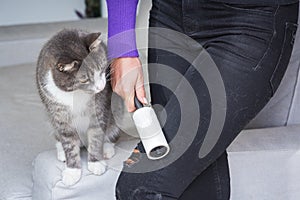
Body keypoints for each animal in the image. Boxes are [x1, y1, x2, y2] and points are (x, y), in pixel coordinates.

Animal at [35, 28, 119, 186]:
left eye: (101, 69)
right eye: (84, 79)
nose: (101, 87)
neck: (76, 93)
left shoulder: (98, 109)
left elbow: (96, 135)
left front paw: (96, 162)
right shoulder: (59, 114)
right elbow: (68, 141)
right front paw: (72, 171)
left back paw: (107, 148)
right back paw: (61, 151)